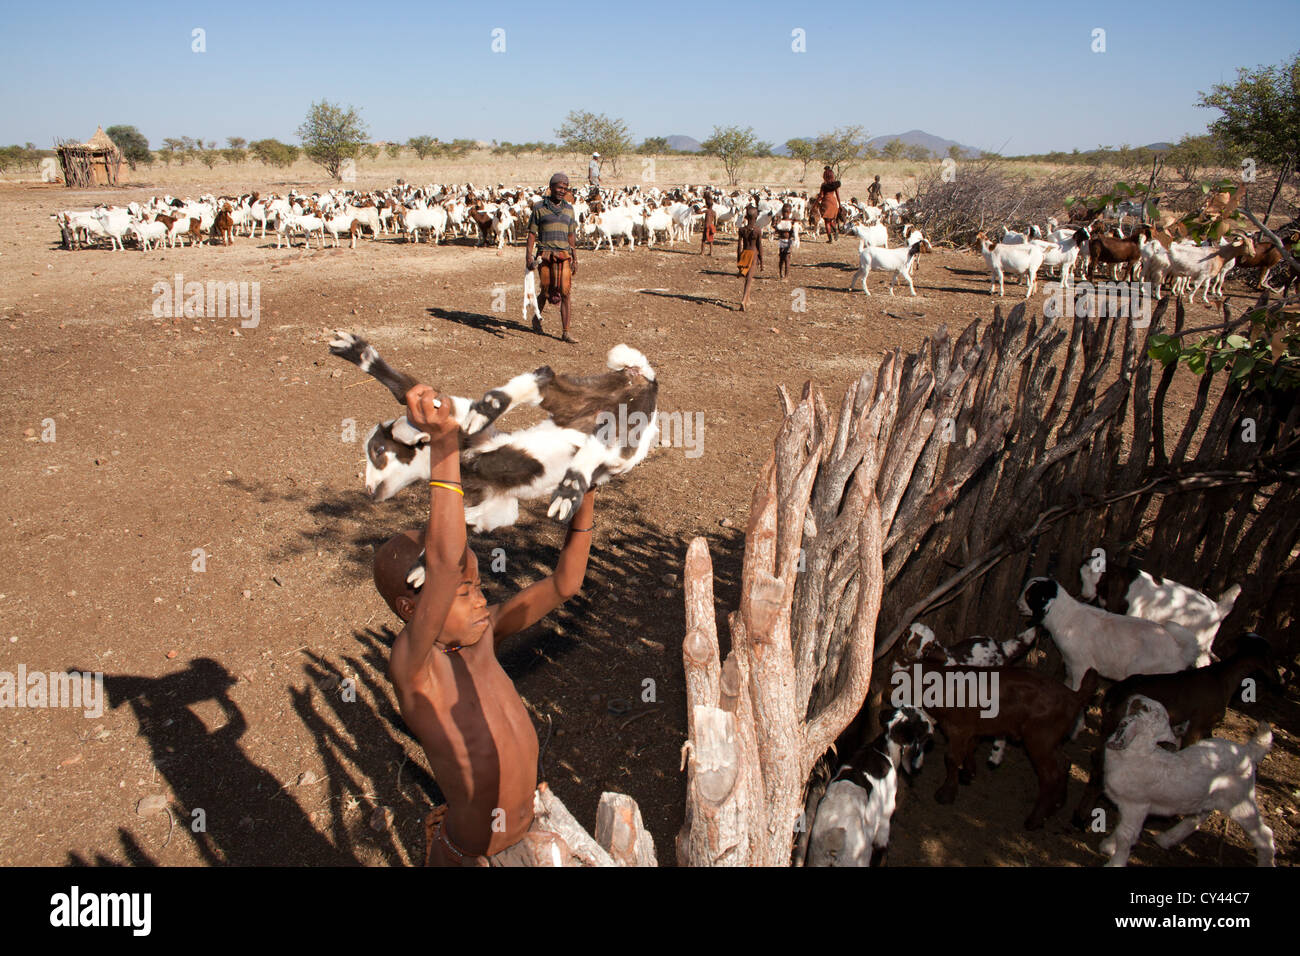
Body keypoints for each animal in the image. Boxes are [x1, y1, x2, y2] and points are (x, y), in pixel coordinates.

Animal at [332, 329, 660, 582]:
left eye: (378, 451)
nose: (369, 490)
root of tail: (643, 376)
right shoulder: (499, 501)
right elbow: (467, 522)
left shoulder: (475, 439)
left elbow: (414, 397)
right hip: (580, 398)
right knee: (546, 378)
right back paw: (494, 404)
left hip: (628, 435)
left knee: (607, 436)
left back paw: (570, 488)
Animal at [800, 702, 935, 868]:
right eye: (920, 724)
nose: (933, 723)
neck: (882, 751)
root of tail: (833, 842)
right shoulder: (886, 817)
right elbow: (882, 847)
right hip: (858, 859)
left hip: (817, 859)